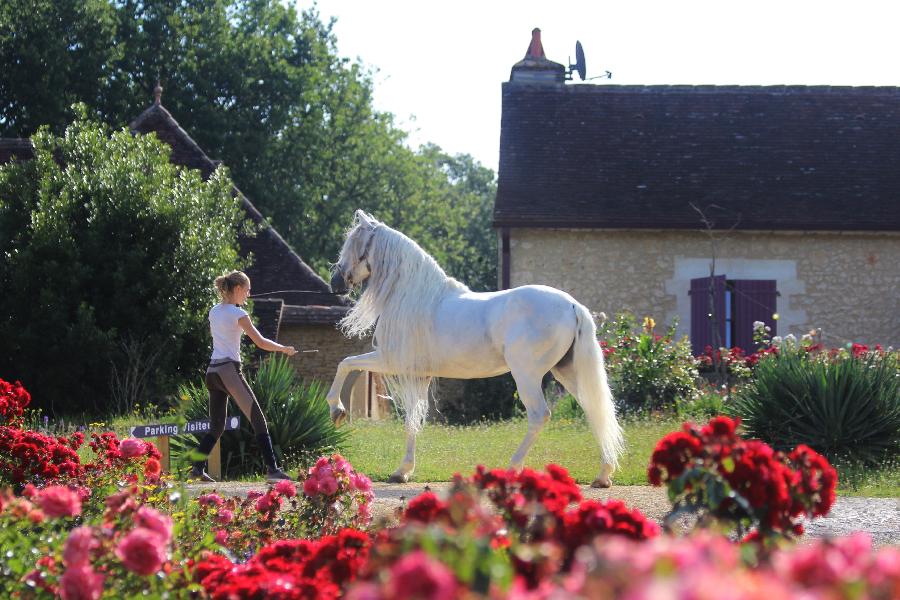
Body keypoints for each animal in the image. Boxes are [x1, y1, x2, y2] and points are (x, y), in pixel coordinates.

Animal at [326, 210, 624, 488]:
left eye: (353, 243)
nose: (335, 282)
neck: (414, 297)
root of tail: (573, 306)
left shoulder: (391, 361)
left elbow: (346, 363)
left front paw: (337, 410)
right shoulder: (420, 374)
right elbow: (412, 419)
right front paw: (403, 471)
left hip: (527, 375)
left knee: (540, 415)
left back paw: (512, 468)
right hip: (567, 372)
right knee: (595, 409)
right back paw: (603, 475)